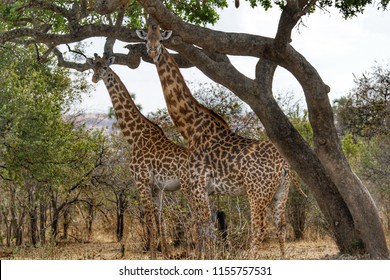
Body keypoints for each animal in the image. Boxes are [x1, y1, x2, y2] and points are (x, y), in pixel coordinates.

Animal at [87, 53, 203, 260]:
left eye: (105, 67)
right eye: (94, 67)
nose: (94, 78)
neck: (134, 136)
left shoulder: (141, 181)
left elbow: (149, 219)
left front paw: (153, 255)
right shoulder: (157, 187)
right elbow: (160, 219)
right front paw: (164, 253)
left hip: (189, 187)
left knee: (199, 216)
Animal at [137, 24, 292, 258]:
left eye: (161, 40)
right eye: (146, 39)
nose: (153, 51)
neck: (190, 129)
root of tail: (284, 165)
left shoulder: (197, 186)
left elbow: (203, 229)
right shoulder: (208, 190)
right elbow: (208, 229)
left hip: (257, 192)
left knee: (259, 227)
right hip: (281, 192)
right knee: (280, 225)